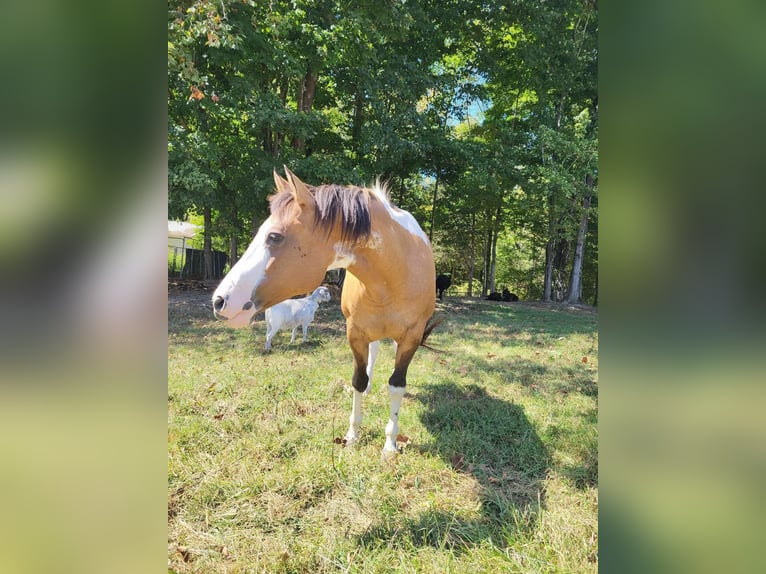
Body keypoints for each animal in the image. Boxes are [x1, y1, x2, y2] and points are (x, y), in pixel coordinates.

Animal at [210, 168, 438, 460]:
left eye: (274, 237)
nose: (220, 301)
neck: (394, 273)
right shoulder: (356, 333)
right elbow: (358, 380)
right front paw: (352, 435)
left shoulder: (410, 337)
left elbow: (397, 385)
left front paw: (390, 444)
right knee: (373, 354)